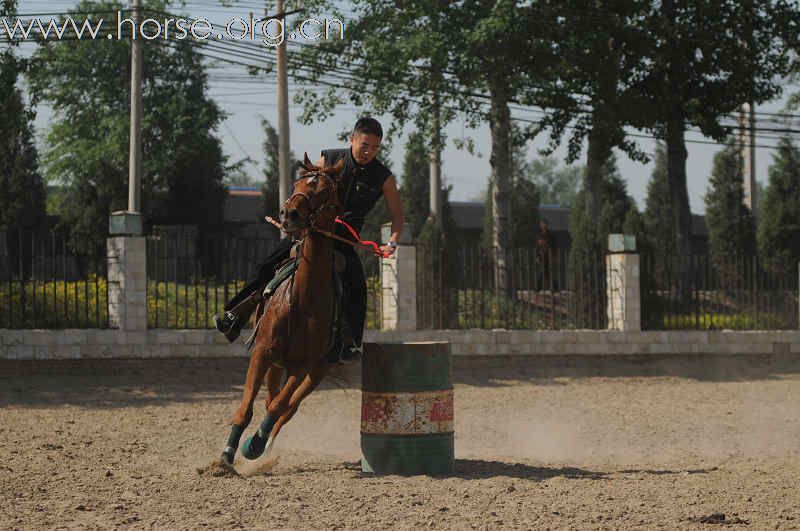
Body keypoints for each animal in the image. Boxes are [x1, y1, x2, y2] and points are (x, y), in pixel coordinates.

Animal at [219, 153, 344, 466]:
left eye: (325, 191)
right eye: (298, 183)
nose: (290, 214)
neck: (303, 298)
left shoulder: (303, 365)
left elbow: (279, 406)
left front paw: (253, 445)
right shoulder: (263, 351)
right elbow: (248, 405)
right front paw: (226, 454)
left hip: (316, 371)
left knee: (288, 407)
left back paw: (264, 446)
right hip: (276, 364)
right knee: (270, 399)